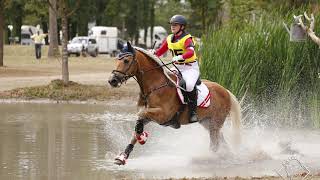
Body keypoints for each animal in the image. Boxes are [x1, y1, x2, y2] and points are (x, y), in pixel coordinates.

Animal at [109, 41, 241, 165]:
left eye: (126, 60)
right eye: (117, 60)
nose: (112, 80)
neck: (155, 86)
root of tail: (226, 91)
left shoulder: (162, 115)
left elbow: (140, 120)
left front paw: (142, 137)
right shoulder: (150, 115)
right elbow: (137, 126)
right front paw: (122, 157)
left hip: (215, 122)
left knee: (215, 144)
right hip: (207, 122)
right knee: (221, 141)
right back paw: (227, 156)